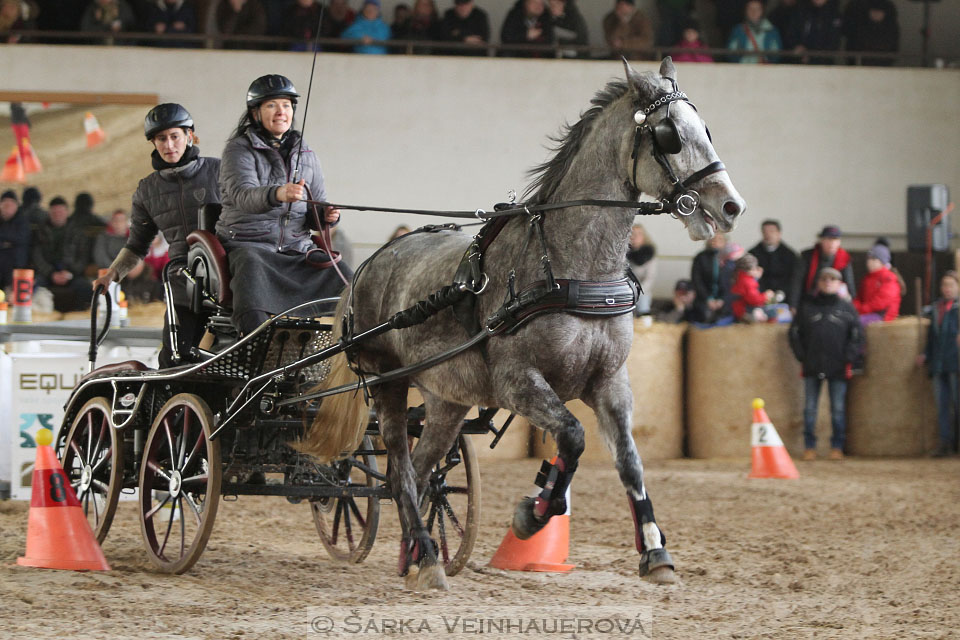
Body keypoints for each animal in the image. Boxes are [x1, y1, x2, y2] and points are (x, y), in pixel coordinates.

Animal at [304, 58, 748, 592]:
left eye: (705, 129)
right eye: (670, 135)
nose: (731, 206)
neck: (570, 266)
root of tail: (369, 264)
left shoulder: (610, 382)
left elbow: (629, 461)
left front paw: (655, 551)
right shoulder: (518, 382)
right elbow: (573, 438)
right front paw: (531, 514)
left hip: (448, 400)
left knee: (418, 467)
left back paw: (416, 555)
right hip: (388, 382)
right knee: (399, 467)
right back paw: (428, 557)